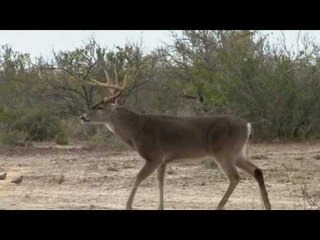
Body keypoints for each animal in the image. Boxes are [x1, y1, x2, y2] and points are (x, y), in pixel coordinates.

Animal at [79, 68, 270, 209]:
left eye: (100, 107)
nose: (82, 117)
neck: (135, 130)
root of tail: (248, 125)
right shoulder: (164, 160)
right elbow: (160, 181)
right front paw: (160, 207)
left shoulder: (154, 156)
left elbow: (139, 177)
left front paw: (128, 205)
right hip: (238, 152)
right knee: (257, 171)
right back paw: (266, 205)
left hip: (224, 152)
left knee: (235, 177)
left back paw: (219, 206)